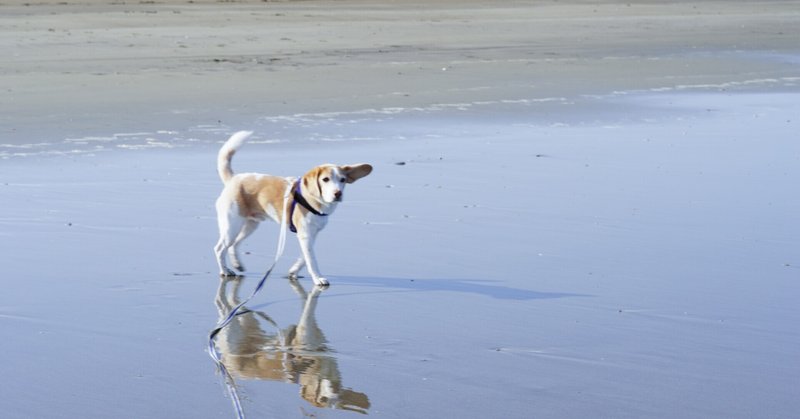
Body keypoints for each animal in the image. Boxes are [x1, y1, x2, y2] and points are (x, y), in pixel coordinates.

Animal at [214, 131, 374, 288]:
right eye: (325, 179)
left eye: (342, 180)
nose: (338, 193)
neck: (314, 199)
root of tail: (234, 178)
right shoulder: (305, 235)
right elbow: (311, 259)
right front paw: (318, 278)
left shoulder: (312, 234)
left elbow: (304, 257)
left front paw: (294, 271)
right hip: (231, 226)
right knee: (220, 248)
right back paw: (225, 271)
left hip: (249, 225)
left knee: (234, 245)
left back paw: (237, 265)